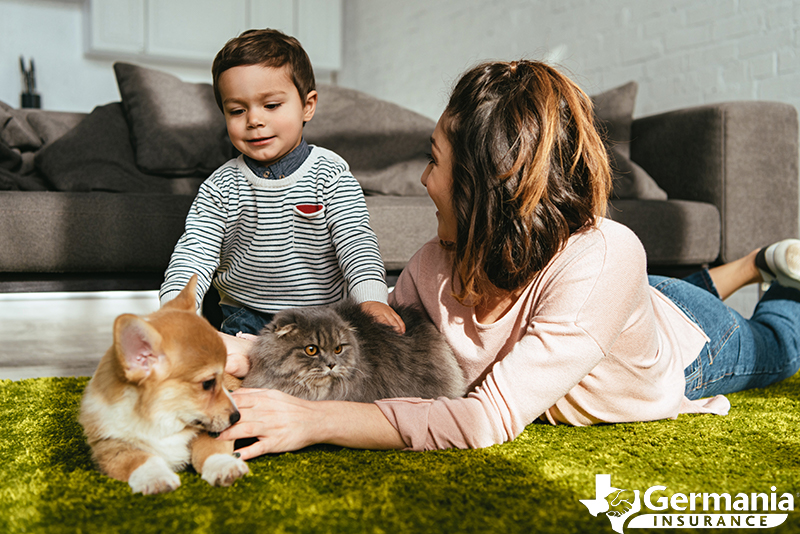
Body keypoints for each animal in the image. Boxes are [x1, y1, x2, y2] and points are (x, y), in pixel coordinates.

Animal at [79, 278, 247, 496]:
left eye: (223, 375)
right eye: (208, 383)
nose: (237, 417)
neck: (162, 418)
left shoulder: (209, 433)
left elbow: (210, 450)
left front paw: (225, 466)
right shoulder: (111, 447)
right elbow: (140, 460)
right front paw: (155, 478)